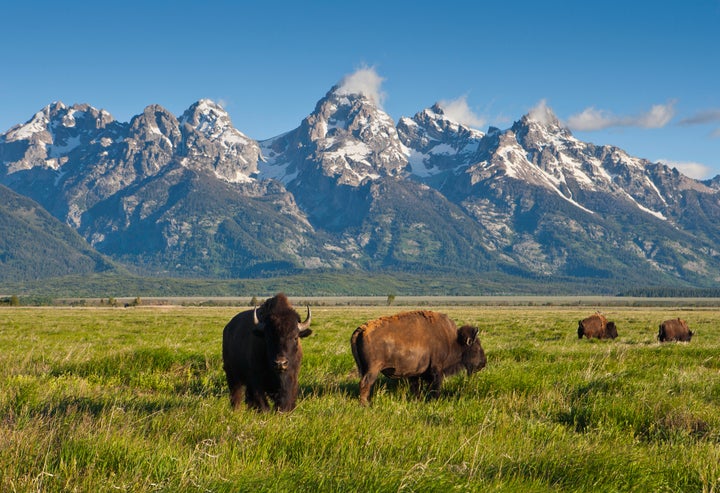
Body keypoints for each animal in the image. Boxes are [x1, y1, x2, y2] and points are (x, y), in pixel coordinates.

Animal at [352, 312, 486, 404]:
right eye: (476, 347)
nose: (483, 363)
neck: (453, 341)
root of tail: (362, 329)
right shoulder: (437, 369)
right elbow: (435, 386)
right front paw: (434, 400)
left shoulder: (416, 373)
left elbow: (416, 387)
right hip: (373, 369)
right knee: (366, 383)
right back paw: (366, 404)